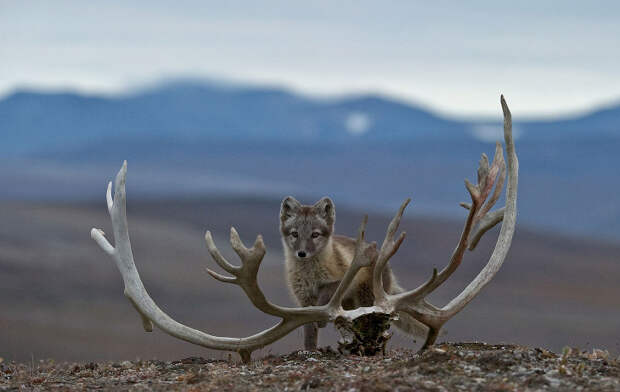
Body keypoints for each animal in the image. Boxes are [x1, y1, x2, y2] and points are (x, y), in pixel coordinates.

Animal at [278, 196, 424, 350]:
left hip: (367, 301)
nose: (301, 253)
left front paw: (322, 319)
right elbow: (309, 331)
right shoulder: (304, 300)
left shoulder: (340, 281)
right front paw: (310, 350)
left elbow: (325, 295)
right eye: (295, 234)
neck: (310, 275)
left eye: (315, 234)